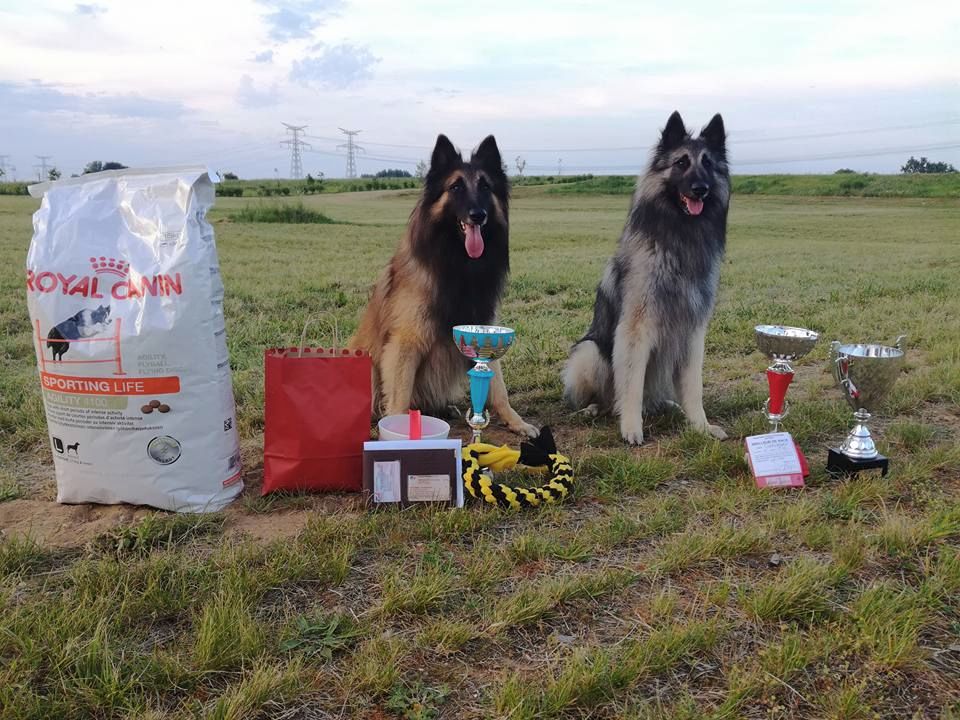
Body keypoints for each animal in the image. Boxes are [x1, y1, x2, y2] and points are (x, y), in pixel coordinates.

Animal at [348, 136, 536, 438]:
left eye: (485, 186)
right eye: (455, 186)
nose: (478, 215)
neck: (458, 263)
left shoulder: (485, 330)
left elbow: (499, 388)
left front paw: (516, 422)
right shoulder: (405, 342)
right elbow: (399, 396)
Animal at [568, 111, 732, 444]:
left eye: (708, 163)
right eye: (681, 162)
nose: (700, 189)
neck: (681, 239)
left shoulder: (692, 333)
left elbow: (693, 388)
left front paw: (701, 426)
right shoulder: (635, 329)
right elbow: (631, 384)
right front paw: (631, 428)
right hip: (589, 352)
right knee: (607, 397)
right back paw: (595, 409)